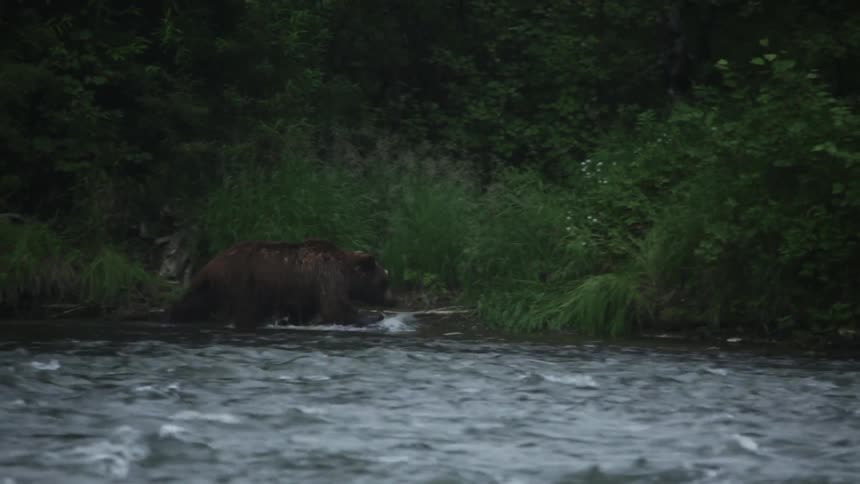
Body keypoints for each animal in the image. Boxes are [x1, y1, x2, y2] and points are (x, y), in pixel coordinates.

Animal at [166, 239, 395, 329]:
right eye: (384, 281)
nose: (391, 299)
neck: (346, 272)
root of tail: (211, 264)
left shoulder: (305, 291)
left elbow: (304, 311)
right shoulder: (327, 276)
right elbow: (336, 308)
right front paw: (373, 316)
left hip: (211, 287)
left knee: (193, 302)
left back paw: (175, 316)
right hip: (243, 283)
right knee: (245, 310)